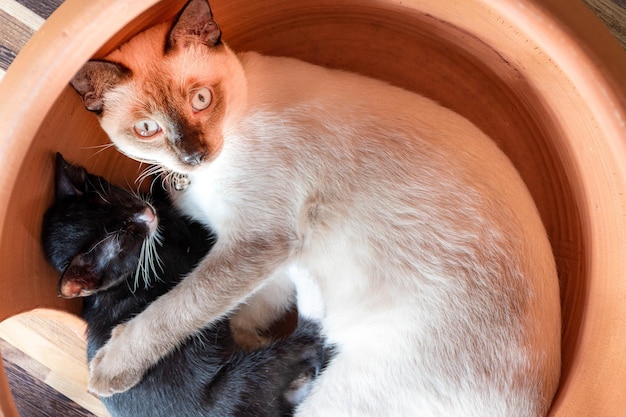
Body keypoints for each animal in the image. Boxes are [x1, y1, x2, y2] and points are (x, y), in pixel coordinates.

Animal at [40, 153, 330, 416]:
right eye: (125, 239)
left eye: (120, 198)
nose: (147, 214)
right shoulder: (187, 248)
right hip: (246, 381)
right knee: (308, 342)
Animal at [69, 0, 560, 414]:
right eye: (147, 129)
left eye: (201, 100)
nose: (193, 156)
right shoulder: (274, 258)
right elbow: (245, 314)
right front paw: (247, 349)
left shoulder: (257, 243)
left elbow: (177, 308)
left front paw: (109, 370)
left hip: (344, 396)